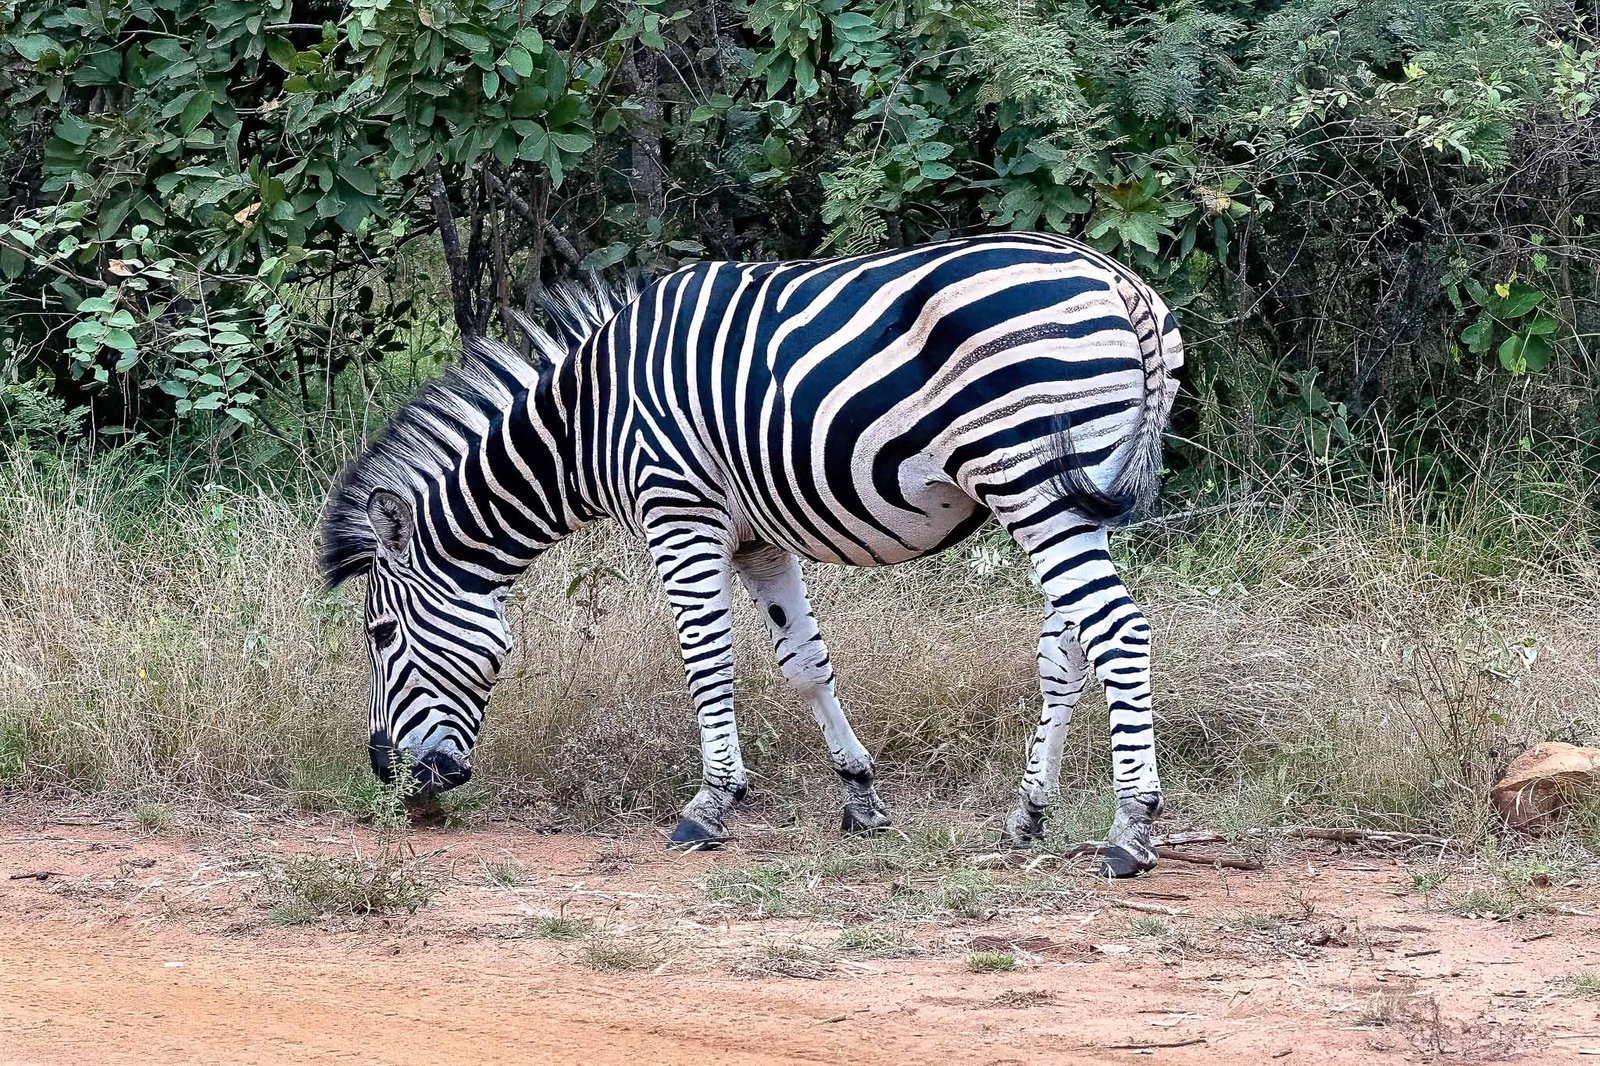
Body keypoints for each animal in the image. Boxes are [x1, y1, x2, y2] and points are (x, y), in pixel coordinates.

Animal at [320, 233, 1183, 877]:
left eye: (380, 636)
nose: (390, 778)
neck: (586, 422)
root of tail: (1120, 283)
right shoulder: (760, 539)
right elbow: (805, 662)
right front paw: (859, 796)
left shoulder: (679, 512)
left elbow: (707, 659)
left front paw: (710, 805)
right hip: (1071, 494)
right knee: (1066, 647)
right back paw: (1028, 815)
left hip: (1029, 478)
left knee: (1117, 631)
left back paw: (1130, 830)